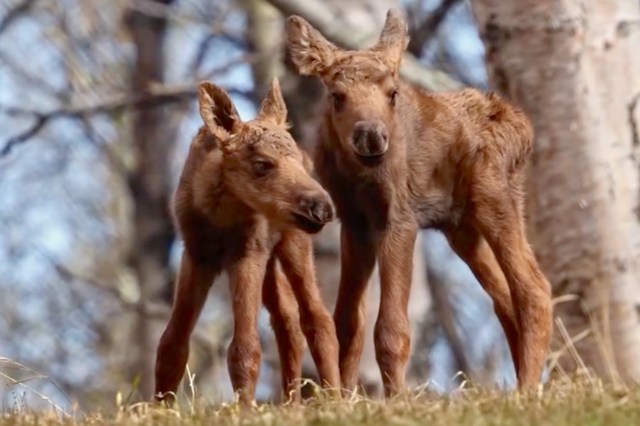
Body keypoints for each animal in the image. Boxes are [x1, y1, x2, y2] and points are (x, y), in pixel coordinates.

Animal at [154, 78, 341, 406]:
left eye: (298, 163)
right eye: (262, 164)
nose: (322, 208)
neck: (218, 216)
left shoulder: (247, 253)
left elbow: (244, 347)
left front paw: (244, 409)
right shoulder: (196, 253)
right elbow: (172, 343)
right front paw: (159, 407)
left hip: (292, 242)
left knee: (317, 316)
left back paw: (338, 399)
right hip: (269, 261)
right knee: (287, 317)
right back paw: (291, 405)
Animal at [285, 9, 553, 397]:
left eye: (392, 93)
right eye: (336, 95)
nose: (370, 135)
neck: (360, 178)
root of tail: (524, 125)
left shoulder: (400, 219)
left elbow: (391, 328)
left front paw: (397, 399)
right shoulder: (354, 222)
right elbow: (347, 323)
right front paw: (343, 398)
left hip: (493, 194)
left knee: (533, 287)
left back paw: (527, 390)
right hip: (462, 228)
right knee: (504, 299)